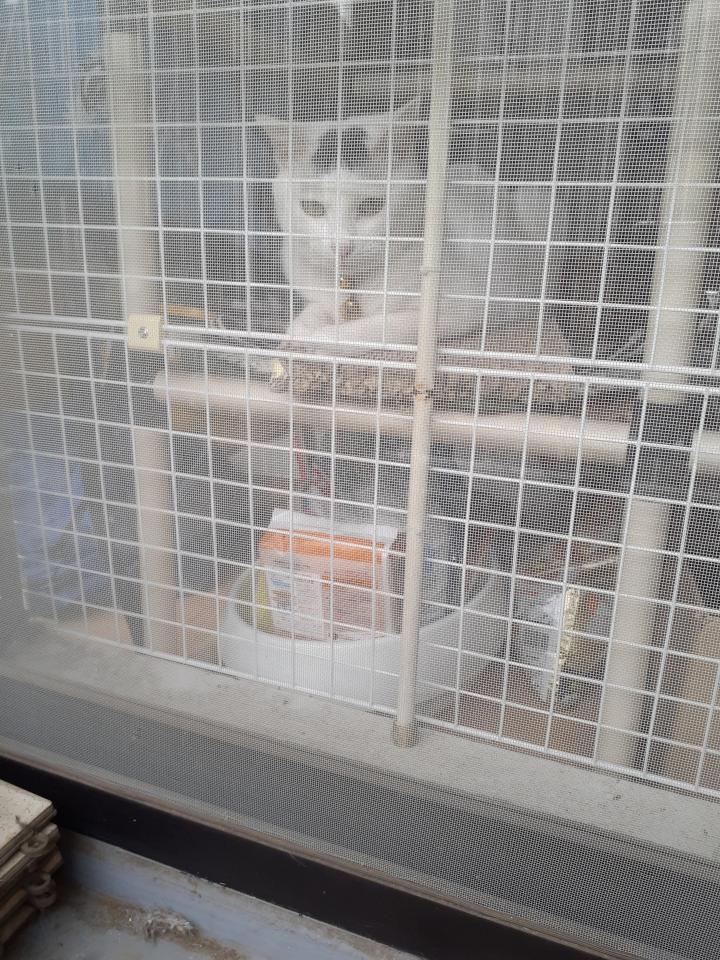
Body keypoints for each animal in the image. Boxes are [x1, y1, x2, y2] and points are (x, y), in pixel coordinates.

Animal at [258, 100, 573, 400]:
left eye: (372, 205)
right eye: (313, 208)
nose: (342, 247)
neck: (354, 285)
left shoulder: (465, 304)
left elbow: (387, 325)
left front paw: (324, 340)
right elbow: (315, 309)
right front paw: (302, 327)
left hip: (537, 202)